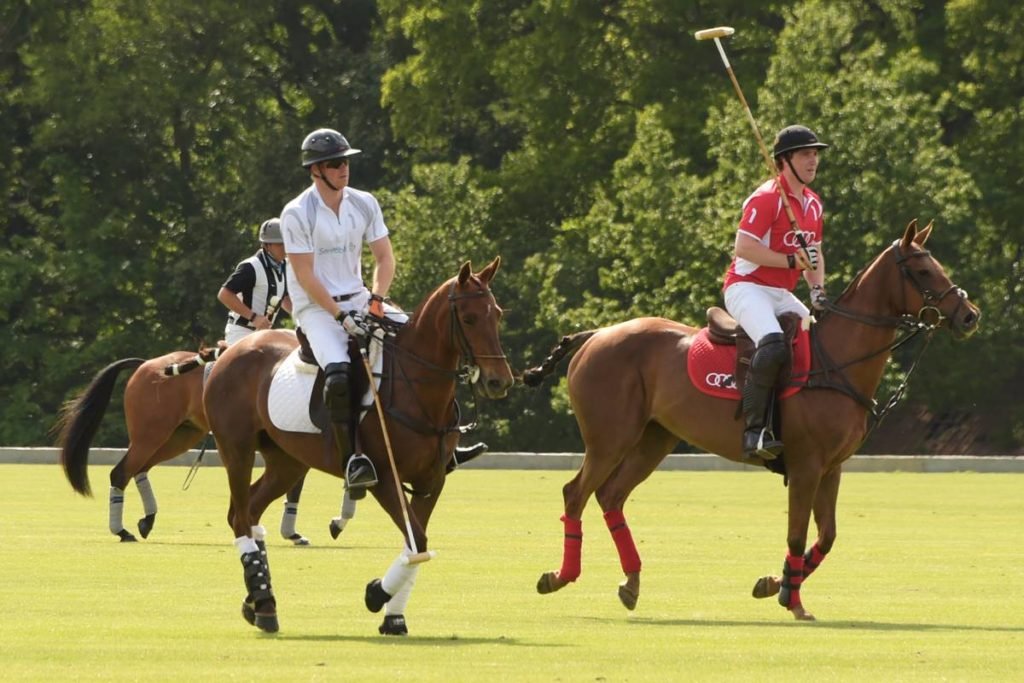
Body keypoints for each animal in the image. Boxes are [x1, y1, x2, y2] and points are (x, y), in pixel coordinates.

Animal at [55, 348, 311, 544]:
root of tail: (146, 363)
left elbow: (293, 486)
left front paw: (293, 533)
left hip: (180, 436)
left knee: (139, 469)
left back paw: (146, 520)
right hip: (151, 434)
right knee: (121, 472)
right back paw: (122, 531)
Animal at [204, 258, 516, 634]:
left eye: (496, 314)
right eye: (468, 318)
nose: (498, 381)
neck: (416, 386)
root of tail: (229, 353)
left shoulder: (431, 481)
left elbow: (414, 540)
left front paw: (394, 615)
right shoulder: (383, 476)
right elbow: (418, 539)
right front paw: (376, 594)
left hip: (287, 460)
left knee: (249, 510)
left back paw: (257, 602)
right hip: (236, 447)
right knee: (239, 516)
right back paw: (264, 603)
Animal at [524, 222, 978, 622]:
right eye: (923, 271)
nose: (970, 316)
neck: (837, 358)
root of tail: (596, 334)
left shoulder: (832, 467)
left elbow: (826, 536)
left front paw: (775, 584)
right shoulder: (806, 465)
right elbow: (797, 533)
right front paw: (794, 602)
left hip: (655, 439)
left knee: (611, 496)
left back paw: (631, 582)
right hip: (609, 437)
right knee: (575, 493)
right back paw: (560, 576)